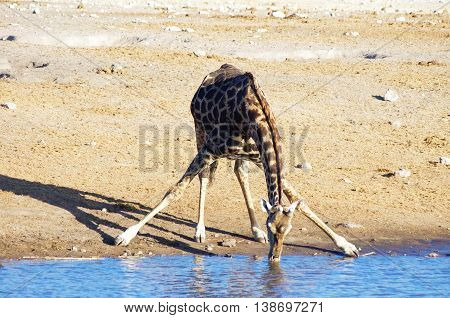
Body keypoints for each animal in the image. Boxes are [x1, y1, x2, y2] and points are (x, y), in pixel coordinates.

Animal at [115, 64, 358, 260]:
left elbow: (300, 200)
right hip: (200, 132)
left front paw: (346, 245)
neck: (254, 117)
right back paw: (200, 230)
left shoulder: (261, 158)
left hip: (240, 156)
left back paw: (254, 230)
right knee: (205, 177)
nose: (274, 257)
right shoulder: (210, 150)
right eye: (271, 227)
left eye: (287, 230)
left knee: (239, 172)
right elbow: (175, 191)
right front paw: (126, 235)